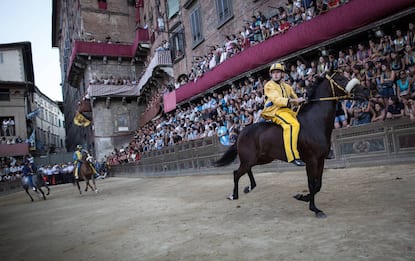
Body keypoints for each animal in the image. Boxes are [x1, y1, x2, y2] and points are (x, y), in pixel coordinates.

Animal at [216, 71, 368, 217]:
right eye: (341, 79)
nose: (365, 91)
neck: (315, 121)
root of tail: (241, 132)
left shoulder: (321, 160)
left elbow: (318, 184)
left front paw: (303, 197)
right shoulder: (311, 161)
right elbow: (312, 184)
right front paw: (314, 209)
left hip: (261, 159)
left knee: (246, 170)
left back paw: (249, 187)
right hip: (250, 159)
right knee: (236, 173)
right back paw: (234, 195)